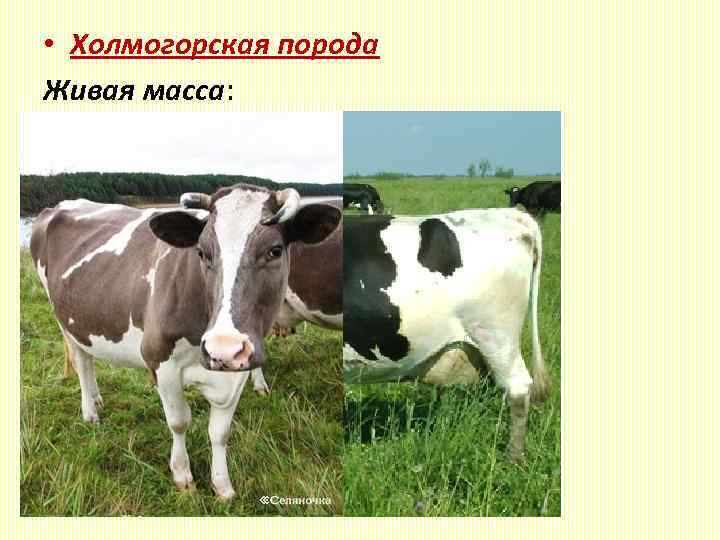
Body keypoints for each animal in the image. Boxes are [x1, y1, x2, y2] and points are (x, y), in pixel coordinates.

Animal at [30, 184, 341, 500]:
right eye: (201, 252)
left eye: (275, 250)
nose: (222, 349)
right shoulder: (159, 360)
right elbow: (179, 422)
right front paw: (182, 475)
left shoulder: (238, 370)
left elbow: (220, 432)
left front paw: (222, 486)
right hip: (64, 321)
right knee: (82, 363)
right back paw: (90, 412)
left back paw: (96, 398)